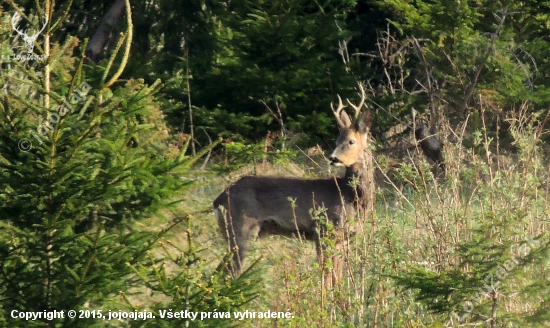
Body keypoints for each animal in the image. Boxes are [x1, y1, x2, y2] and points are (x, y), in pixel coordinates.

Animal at [213, 85, 378, 288]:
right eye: (336, 141)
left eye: (351, 141)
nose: (333, 158)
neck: (351, 196)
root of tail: (217, 200)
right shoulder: (323, 230)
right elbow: (326, 276)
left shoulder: (343, 237)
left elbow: (337, 276)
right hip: (241, 229)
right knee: (226, 272)